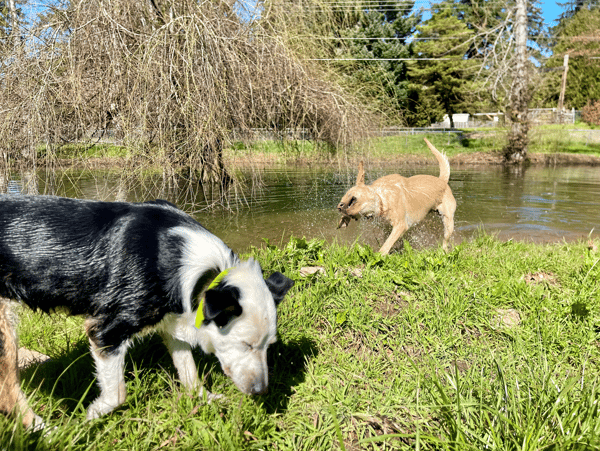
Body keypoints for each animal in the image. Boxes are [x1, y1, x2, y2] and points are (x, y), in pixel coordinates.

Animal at [0, 196, 296, 430]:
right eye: (245, 345)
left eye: (269, 346)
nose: (261, 391)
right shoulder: (105, 332)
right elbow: (117, 395)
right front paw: (91, 416)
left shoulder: (173, 321)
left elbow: (189, 371)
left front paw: (204, 399)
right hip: (5, 332)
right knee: (8, 393)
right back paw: (45, 431)